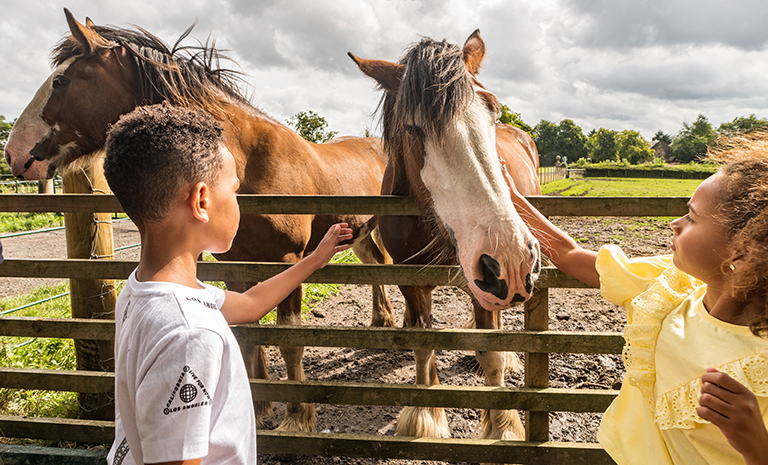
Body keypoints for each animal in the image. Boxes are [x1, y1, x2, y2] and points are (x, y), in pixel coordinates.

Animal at [3, 8, 392, 432]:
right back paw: (383, 321)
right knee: (378, 266)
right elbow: (248, 336)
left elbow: (290, 342)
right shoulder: (239, 265)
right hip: (359, 235)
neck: (249, 164)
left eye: (61, 80)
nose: (13, 153)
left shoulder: (287, 261)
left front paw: (296, 419)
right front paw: (258, 409)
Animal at [352, 31, 544, 438]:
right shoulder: (410, 280)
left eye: (494, 111)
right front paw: (425, 420)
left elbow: (491, 355)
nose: (511, 258)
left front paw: (503, 426)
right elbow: (424, 345)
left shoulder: (488, 282)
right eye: (413, 128)